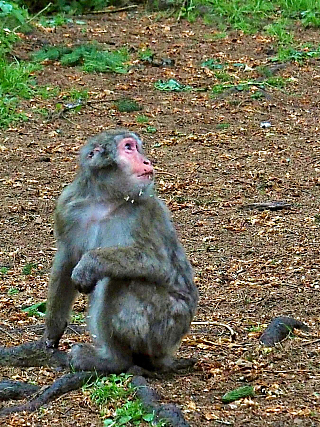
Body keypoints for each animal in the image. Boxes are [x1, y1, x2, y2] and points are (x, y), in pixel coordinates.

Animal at [43, 129, 199, 372]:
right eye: (128, 148)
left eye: (135, 148)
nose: (146, 161)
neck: (105, 199)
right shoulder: (67, 208)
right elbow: (66, 260)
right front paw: (53, 329)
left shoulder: (145, 209)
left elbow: (157, 262)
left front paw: (89, 264)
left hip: (167, 324)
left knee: (119, 282)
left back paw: (114, 360)